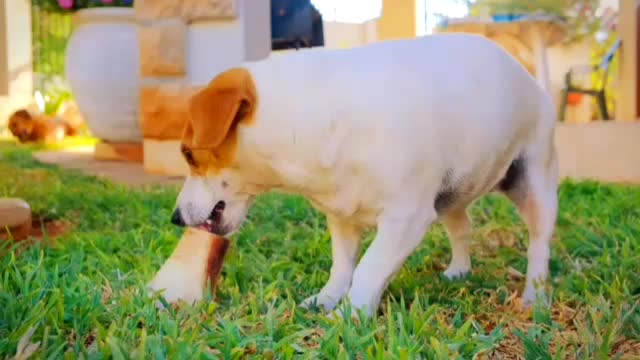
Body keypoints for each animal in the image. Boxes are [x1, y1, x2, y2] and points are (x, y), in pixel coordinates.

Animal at [149, 33, 556, 318]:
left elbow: (368, 271)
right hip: (452, 195)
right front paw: (328, 299)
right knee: (462, 226)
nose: (175, 218)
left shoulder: (406, 219)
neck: (308, 121)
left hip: (534, 187)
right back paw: (459, 270)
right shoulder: (342, 218)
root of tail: (527, 76)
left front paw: (350, 315)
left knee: (538, 245)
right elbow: (343, 267)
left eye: (188, 154)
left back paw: (534, 295)